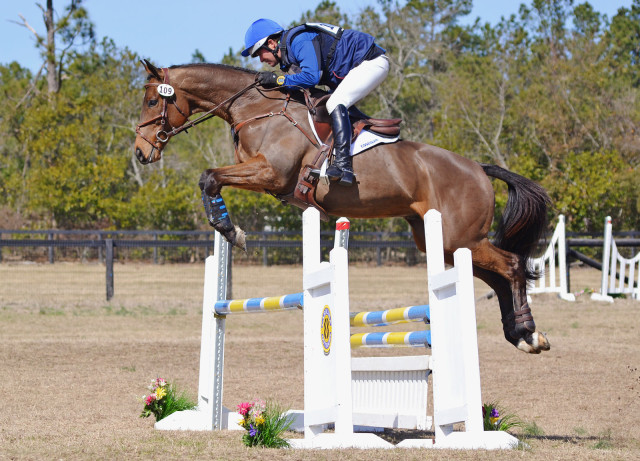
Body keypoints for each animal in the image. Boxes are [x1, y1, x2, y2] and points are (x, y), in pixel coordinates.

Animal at [134, 61, 552, 354]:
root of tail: (478, 167)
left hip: (460, 237)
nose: (140, 153)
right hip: (447, 243)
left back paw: (530, 334)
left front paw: (230, 230)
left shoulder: (271, 173)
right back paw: (520, 335)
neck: (256, 109)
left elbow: (208, 177)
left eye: (153, 101)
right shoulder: (264, 177)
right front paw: (227, 227)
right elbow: (210, 178)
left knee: (512, 266)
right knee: (497, 276)